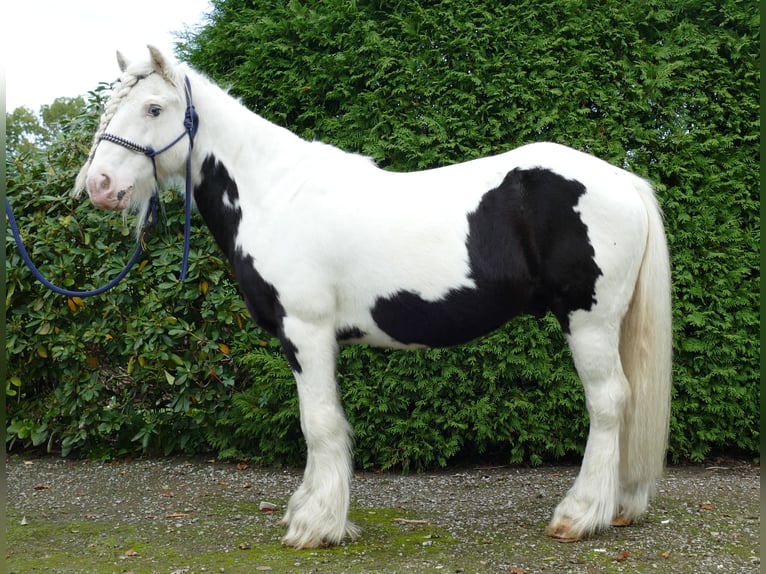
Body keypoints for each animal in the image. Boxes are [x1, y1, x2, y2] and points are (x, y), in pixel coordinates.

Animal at [75, 46, 672, 549]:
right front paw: (306, 510)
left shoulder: (306, 331)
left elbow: (318, 423)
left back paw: (580, 514)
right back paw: (619, 505)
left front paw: (316, 526)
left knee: (609, 401)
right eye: (110, 107)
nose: (98, 185)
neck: (275, 195)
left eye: (153, 107)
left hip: (588, 320)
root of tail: (623, 180)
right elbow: (317, 420)